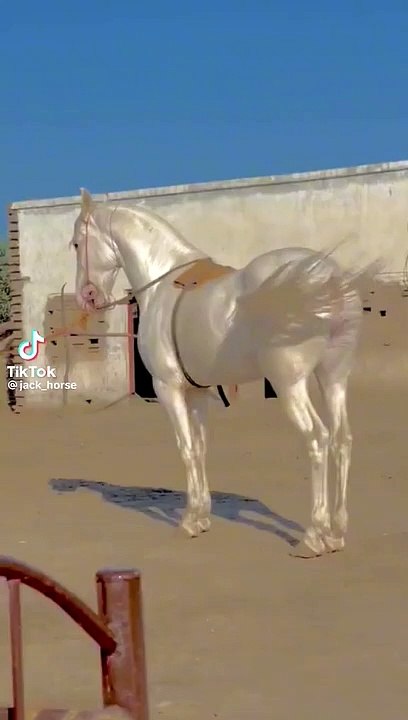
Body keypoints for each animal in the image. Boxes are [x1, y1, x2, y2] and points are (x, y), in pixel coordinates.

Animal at [70, 188, 376, 558]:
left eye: (76, 243)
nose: (87, 297)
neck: (162, 283)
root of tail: (327, 278)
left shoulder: (168, 389)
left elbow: (186, 448)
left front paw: (188, 522)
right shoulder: (198, 391)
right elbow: (201, 448)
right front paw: (201, 517)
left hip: (290, 384)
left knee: (318, 438)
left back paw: (313, 536)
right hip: (333, 378)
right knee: (342, 440)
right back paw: (336, 533)